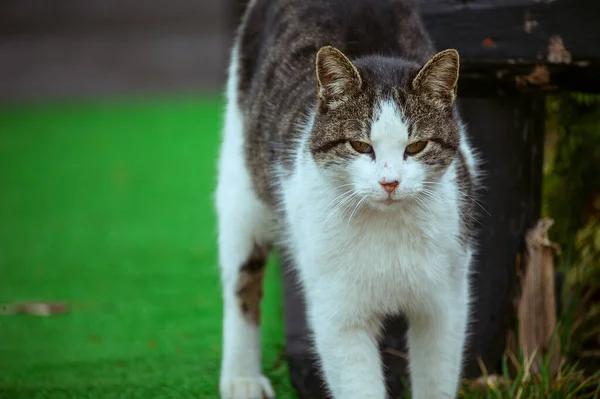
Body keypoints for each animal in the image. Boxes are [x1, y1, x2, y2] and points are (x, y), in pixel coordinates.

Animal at [214, 0, 478, 398]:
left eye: (416, 146)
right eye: (360, 145)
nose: (389, 182)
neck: (387, 228)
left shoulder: (444, 302)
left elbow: (437, 379)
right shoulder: (339, 313)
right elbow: (359, 383)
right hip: (241, 187)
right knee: (241, 283)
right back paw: (241, 377)